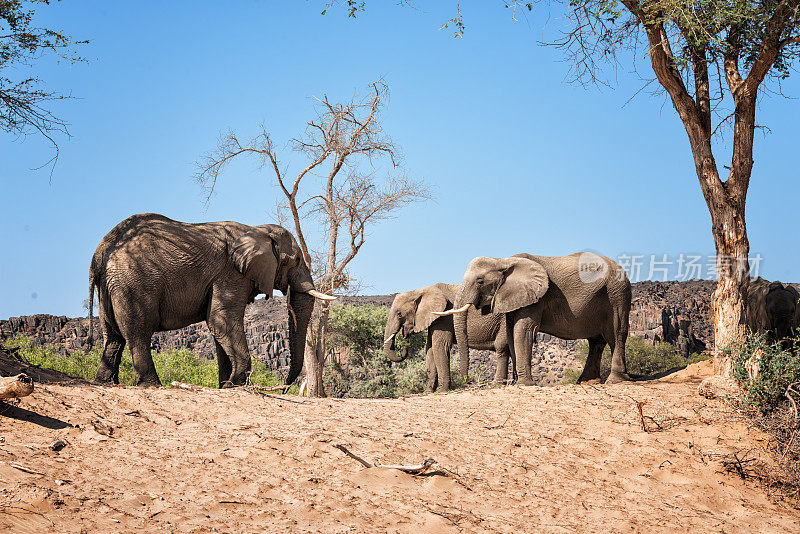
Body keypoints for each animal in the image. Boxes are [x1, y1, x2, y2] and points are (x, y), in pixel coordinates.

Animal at [382, 284, 510, 394]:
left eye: (399, 314)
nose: (405, 335)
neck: (420, 290)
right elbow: (430, 349)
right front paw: (428, 392)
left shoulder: (443, 316)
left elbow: (440, 346)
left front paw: (442, 391)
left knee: (501, 347)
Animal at [438, 254, 632, 386]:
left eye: (480, 281)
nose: (468, 381)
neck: (503, 260)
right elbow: (510, 334)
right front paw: (516, 383)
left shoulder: (536, 297)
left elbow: (523, 331)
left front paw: (524, 384)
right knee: (596, 341)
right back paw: (587, 382)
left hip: (617, 293)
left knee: (616, 333)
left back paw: (615, 380)